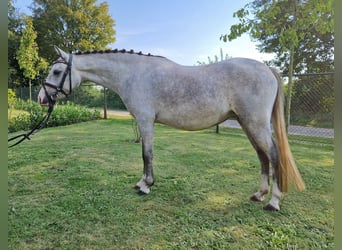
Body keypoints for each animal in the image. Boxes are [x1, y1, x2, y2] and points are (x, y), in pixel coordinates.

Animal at [38, 47, 304, 211]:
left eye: (57, 71)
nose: (41, 98)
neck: (134, 74)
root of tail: (266, 68)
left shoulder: (145, 121)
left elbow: (146, 154)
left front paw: (145, 185)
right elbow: (146, 154)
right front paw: (143, 182)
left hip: (255, 124)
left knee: (274, 155)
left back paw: (273, 202)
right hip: (248, 124)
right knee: (262, 156)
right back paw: (259, 194)